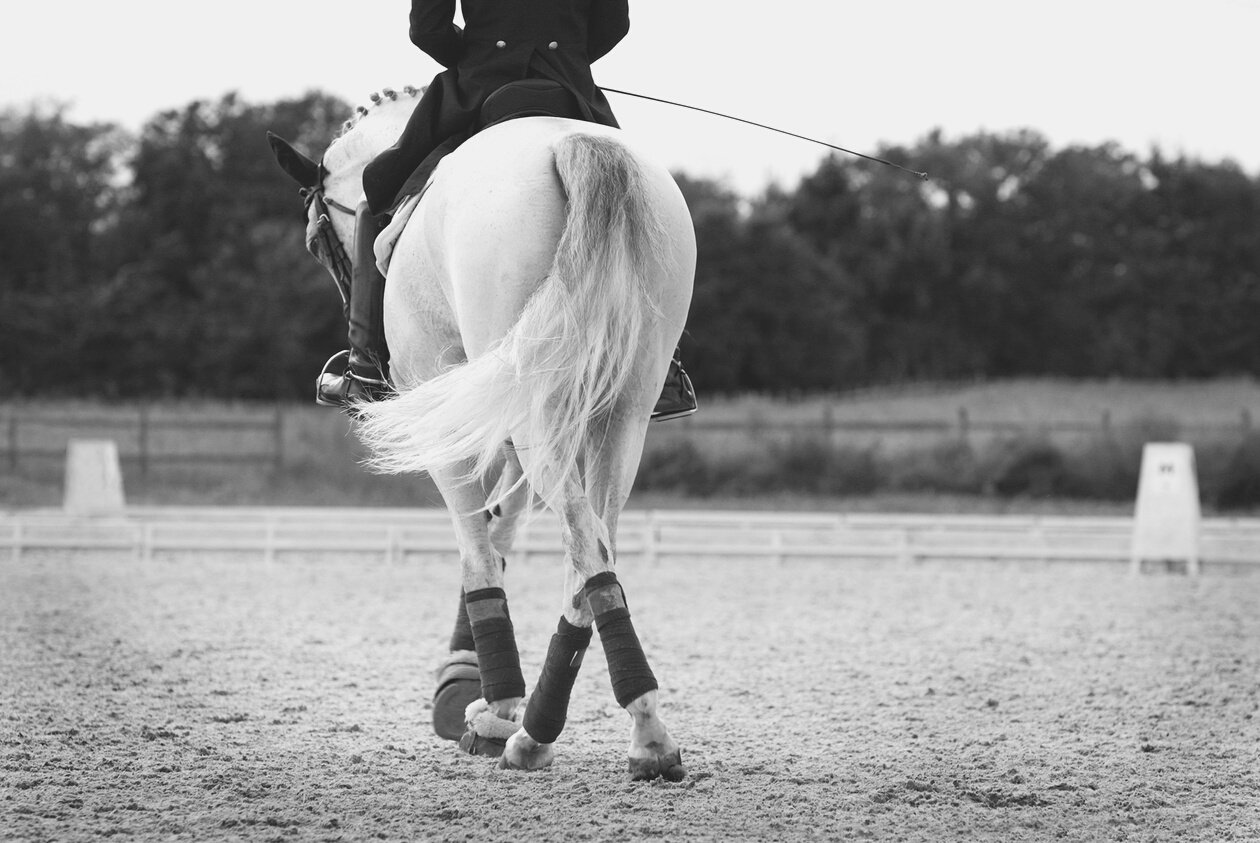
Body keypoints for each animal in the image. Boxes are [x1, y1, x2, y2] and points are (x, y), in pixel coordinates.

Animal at [269, 88, 695, 781]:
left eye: (315, 242)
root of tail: (573, 144)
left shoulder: (456, 424)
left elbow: (477, 549)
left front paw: (486, 702)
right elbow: (503, 530)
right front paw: (477, 691)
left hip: (536, 405)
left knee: (584, 544)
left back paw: (627, 735)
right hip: (620, 416)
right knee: (595, 550)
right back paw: (552, 732)